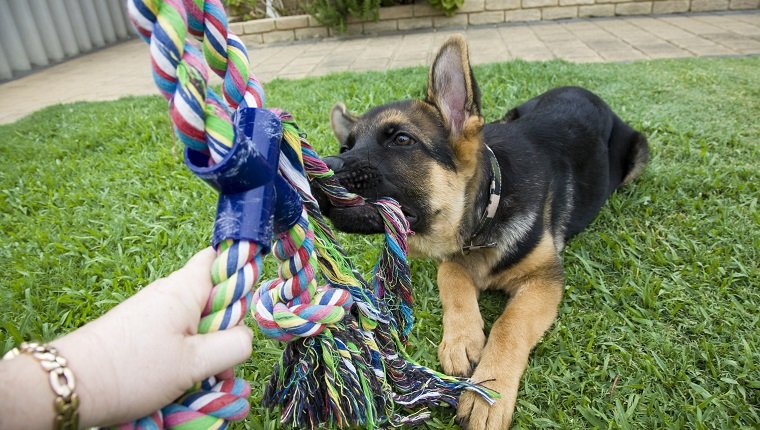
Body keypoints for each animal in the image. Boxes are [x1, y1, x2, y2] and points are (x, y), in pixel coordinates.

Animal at [314, 35, 648, 428]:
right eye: (345, 147)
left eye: (401, 140)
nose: (319, 170)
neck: (488, 210)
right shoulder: (453, 258)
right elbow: (452, 278)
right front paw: (462, 338)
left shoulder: (544, 279)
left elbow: (509, 324)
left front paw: (489, 390)